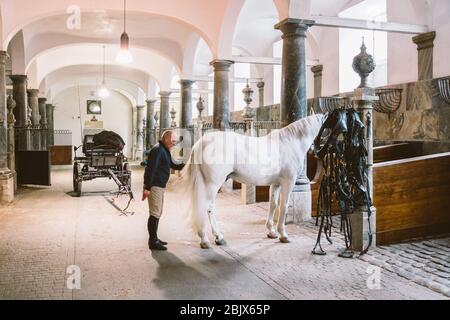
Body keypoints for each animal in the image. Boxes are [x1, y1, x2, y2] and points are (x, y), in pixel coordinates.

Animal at [172, 114, 324, 249]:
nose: (317, 151)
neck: (290, 143)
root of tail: (199, 144)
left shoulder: (276, 183)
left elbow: (273, 204)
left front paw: (272, 232)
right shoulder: (288, 182)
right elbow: (284, 206)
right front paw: (283, 235)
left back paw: (216, 238)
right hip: (212, 185)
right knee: (207, 207)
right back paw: (208, 239)